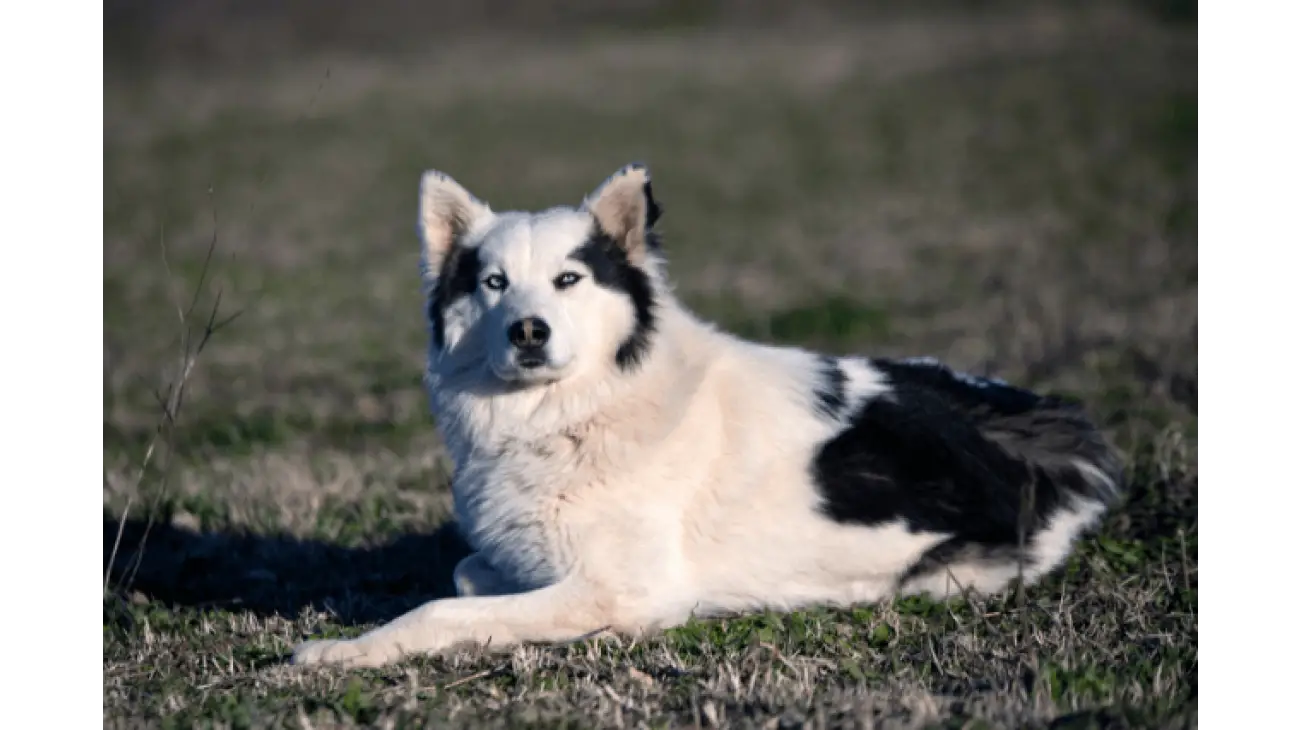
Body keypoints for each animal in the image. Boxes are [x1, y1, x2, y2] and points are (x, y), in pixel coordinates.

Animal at [289, 163, 1123, 665]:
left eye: (568, 280)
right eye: (493, 283)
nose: (529, 331)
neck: (580, 411)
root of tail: (1062, 430)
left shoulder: (625, 593)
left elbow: (440, 608)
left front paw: (340, 651)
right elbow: (465, 576)